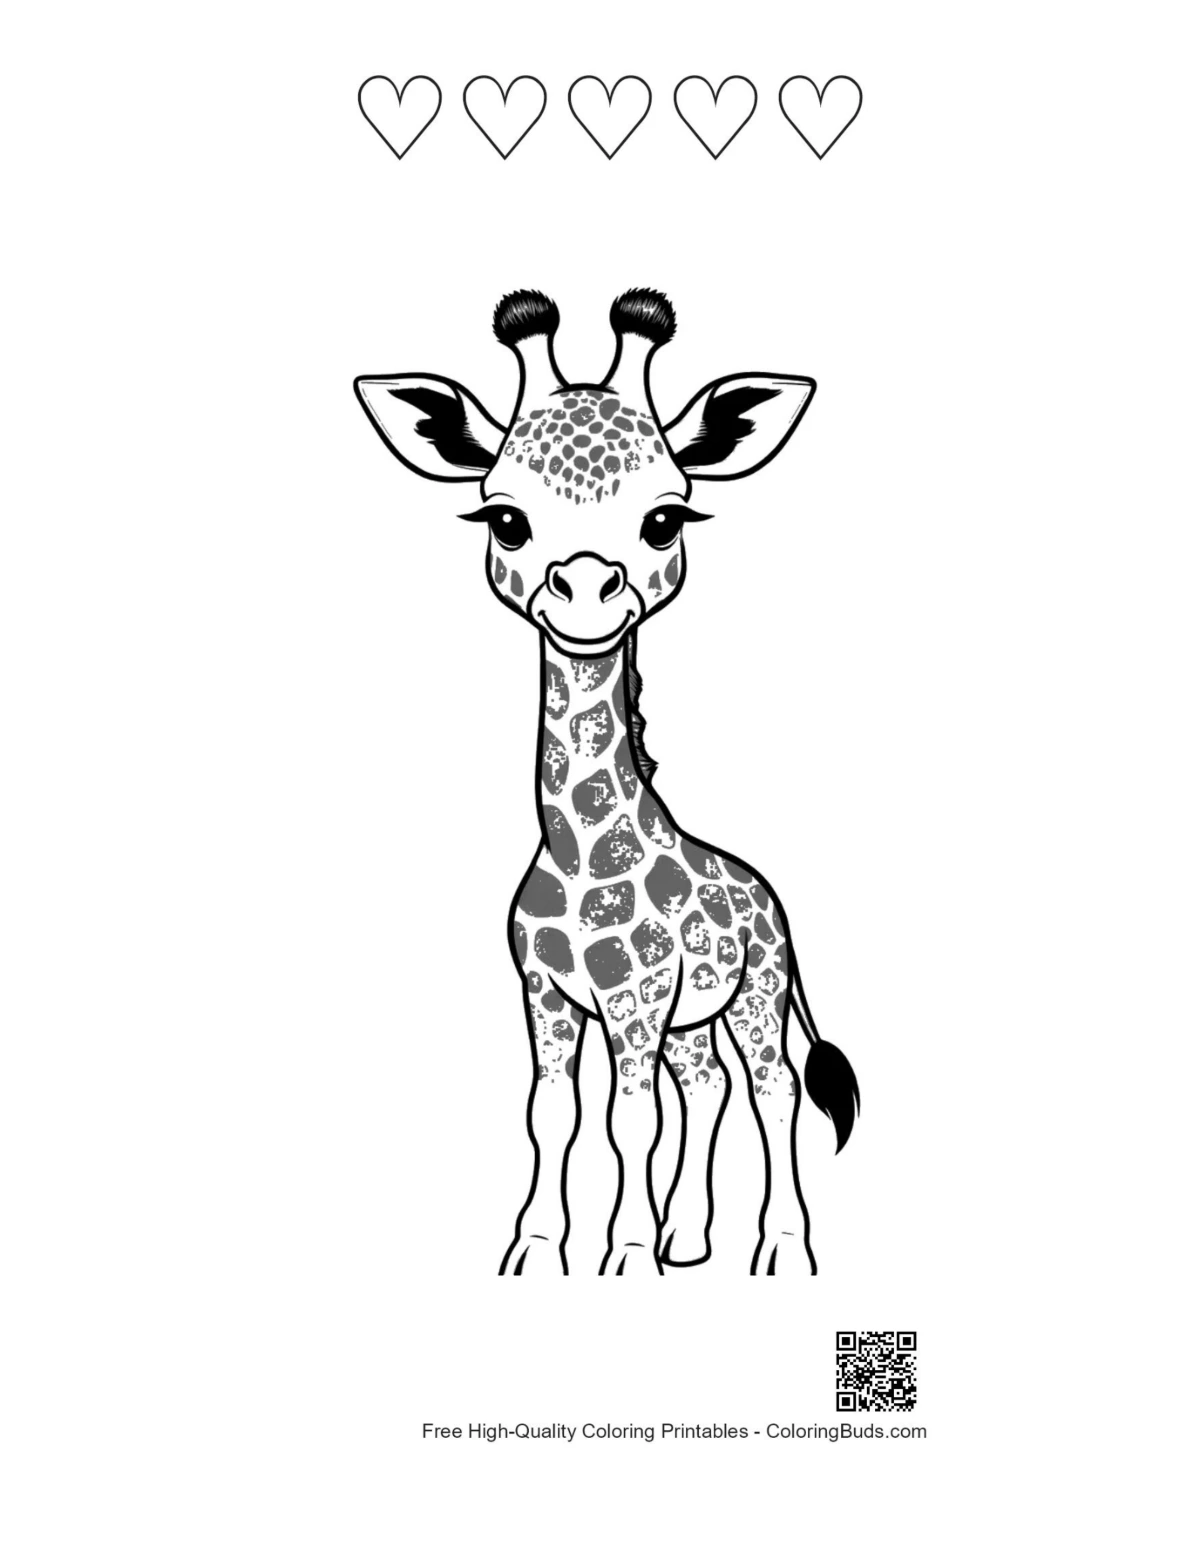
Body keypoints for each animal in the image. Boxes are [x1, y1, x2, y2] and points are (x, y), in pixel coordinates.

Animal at [354, 288, 860, 1275]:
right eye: (505, 519)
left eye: (665, 519)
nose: (587, 594)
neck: (580, 851)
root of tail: (766, 891)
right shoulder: (547, 995)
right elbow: (551, 1114)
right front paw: (538, 1248)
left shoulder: (637, 999)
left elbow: (631, 1118)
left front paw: (622, 1255)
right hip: (697, 1019)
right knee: (708, 1085)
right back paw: (690, 1239)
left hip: (759, 989)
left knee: (773, 1089)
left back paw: (779, 1247)